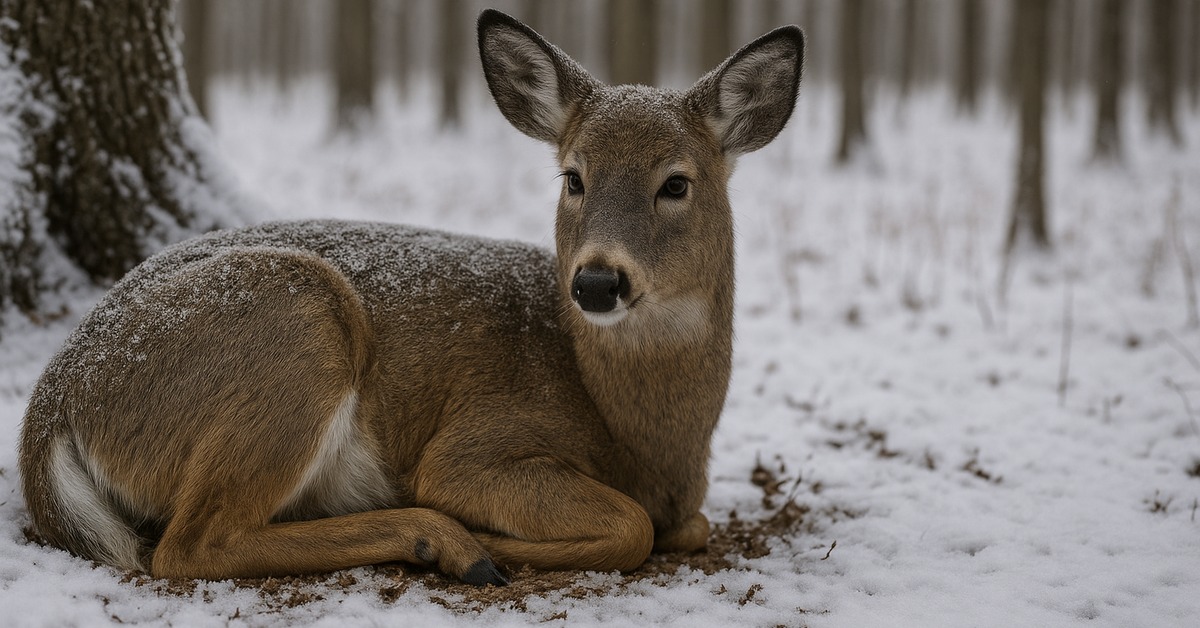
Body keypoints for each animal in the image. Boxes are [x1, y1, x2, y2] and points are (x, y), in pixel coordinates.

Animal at [18, 10, 804, 586]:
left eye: (676, 182)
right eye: (573, 178)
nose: (596, 281)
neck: (649, 436)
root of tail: (51, 409)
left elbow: (691, 525)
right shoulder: (474, 447)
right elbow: (633, 525)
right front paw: (494, 538)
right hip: (296, 322)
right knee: (187, 545)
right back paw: (445, 542)